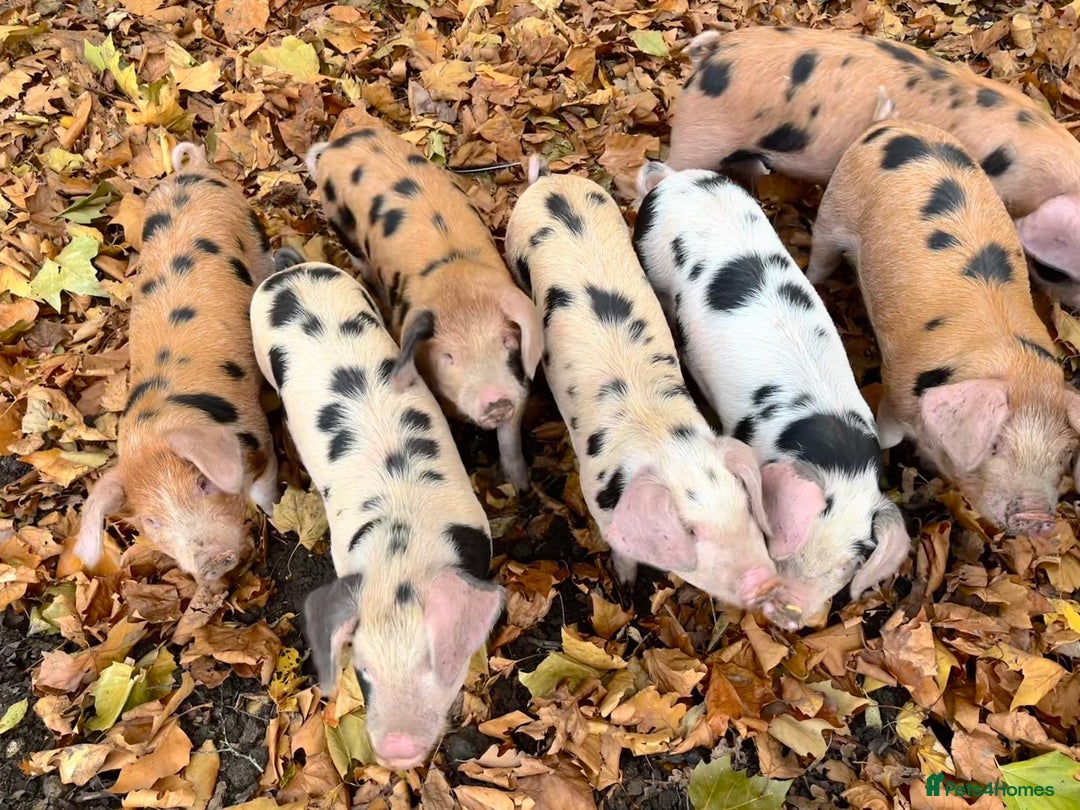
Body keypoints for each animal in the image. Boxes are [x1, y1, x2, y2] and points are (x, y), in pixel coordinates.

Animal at [75, 142, 277, 584]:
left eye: (203, 485)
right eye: (152, 522)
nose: (213, 561)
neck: (157, 426)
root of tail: (191, 172)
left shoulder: (258, 431)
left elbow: (264, 485)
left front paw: (274, 512)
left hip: (251, 227)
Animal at [304, 125, 542, 492]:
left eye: (506, 341)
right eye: (448, 357)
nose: (497, 401)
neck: (456, 284)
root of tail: (335, 146)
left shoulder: (517, 382)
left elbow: (510, 439)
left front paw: (520, 488)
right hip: (341, 226)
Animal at [503, 157, 803, 630]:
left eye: (745, 506)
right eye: (690, 531)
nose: (764, 583)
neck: (666, 441)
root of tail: (551, 182)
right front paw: (626, 588)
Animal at [632, 160, 911, 623]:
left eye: (851, 561)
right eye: (787, 540)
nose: (790, 611)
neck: (835, 455)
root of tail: (675, 178)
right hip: (649, 258)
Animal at [809, 119, 1080, 536]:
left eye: (1064, 455)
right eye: (995, 445)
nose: (1036, 517)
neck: (1017, 368)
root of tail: (895, 125)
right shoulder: (897, 389)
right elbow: (888, 433)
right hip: (835, 208)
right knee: (820, 254)